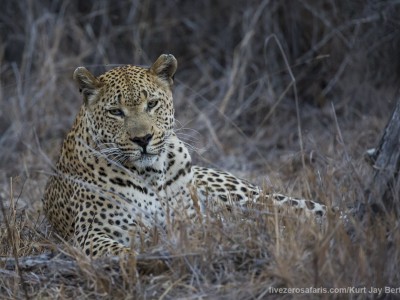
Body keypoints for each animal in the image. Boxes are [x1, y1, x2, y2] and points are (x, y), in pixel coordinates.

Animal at [42, 54, 326, 258]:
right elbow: (121, 252)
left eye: (152, 104)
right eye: (115, 112)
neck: (151, 174)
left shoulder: (191, 219)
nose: (143, 139)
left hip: (245, 196)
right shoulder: (93, 233)